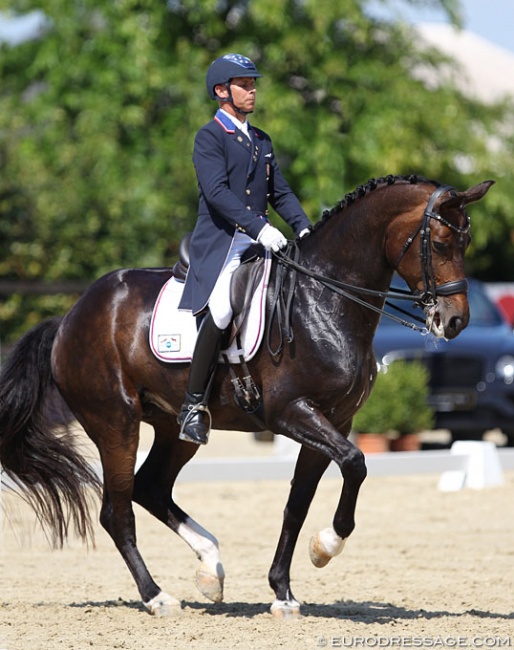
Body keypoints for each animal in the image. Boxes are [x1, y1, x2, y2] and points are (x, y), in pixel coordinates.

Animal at [0, 175, 492, 616]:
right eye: (441, 244)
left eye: (466, 244)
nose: (454, 322)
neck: (324, 298)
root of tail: (69, 317)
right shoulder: (292, 413)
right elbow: (356, 463)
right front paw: (325, 546)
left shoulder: (335, 420)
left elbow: (298, 503)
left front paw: (284, 591)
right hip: (114, 422)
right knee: (116, 511)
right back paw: (158, 597)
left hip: (175, 428)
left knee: (151, 487)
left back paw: (210, 569)